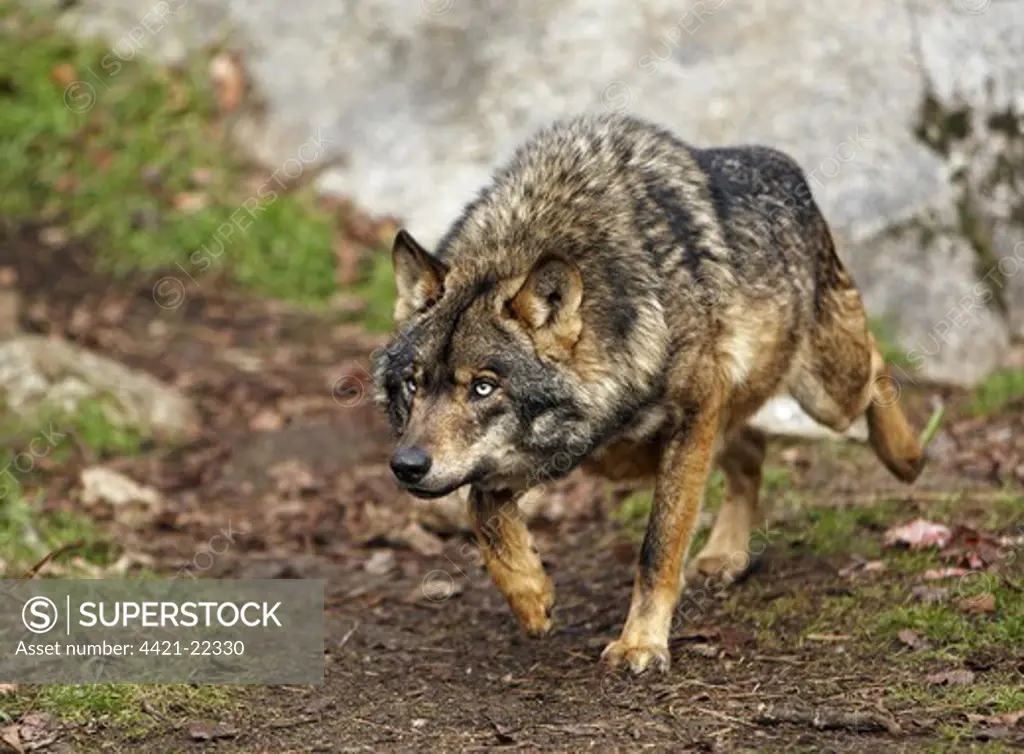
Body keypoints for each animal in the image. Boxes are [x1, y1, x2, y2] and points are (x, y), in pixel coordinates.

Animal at [370, 113, 929, 676]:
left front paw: (640, 643)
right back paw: (726, 555)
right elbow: (482, 508)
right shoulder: (561, 447)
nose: (407, 465)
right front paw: (531, 596)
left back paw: (906, 457)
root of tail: (783, 164)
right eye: (414, 383)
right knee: (751, 449)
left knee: (876, 365)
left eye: (484, 387)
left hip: (825, 393)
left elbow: (658, 547)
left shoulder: (691, 417)